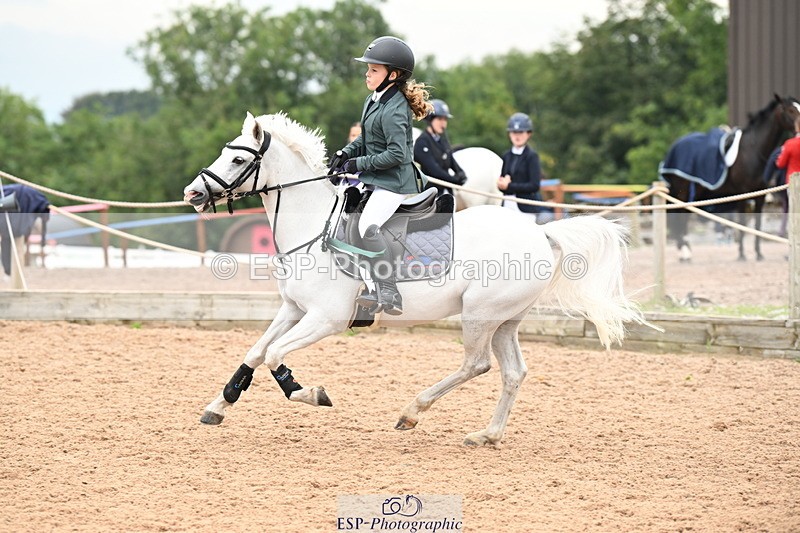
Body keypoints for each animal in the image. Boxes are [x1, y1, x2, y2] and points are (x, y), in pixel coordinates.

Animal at [182, 112, 649, 447]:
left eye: (239, 159)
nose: (192, 193)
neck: (314, 227)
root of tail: (540, 232)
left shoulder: (326, 319)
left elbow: (276, 355)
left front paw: (311, 393)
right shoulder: (293, 309)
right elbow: (256, 351)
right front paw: (219, 405)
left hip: (480, 313)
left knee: (477, 364)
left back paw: (412, 412)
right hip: (504, 320)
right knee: (513, 372)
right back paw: (487, 435)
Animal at [660, 94, 800, 261]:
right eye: (790, 110)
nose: (799, 129)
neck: (753, 151)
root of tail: (675, 147)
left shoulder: (760, 195)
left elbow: (757, 224)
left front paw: (758, 253)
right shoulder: (743, 194)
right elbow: (742, 223)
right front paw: (742, 254)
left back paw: (686, 250)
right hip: (684, 192)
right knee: (681, 217)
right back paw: (684, 252)